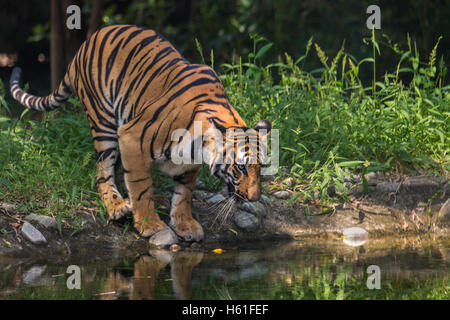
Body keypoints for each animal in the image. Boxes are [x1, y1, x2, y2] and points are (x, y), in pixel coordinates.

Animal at [10, 23, 270, 241]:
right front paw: (150, 226)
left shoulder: (189, 165)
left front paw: (184, 225)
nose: (254, 199)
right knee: (102, 171)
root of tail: (86, 43)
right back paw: (118, 207)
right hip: (103, 121)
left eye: (262, 168)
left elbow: (183, 194)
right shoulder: (132, 139)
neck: (198, 147)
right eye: (240, 168)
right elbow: (141, 187)